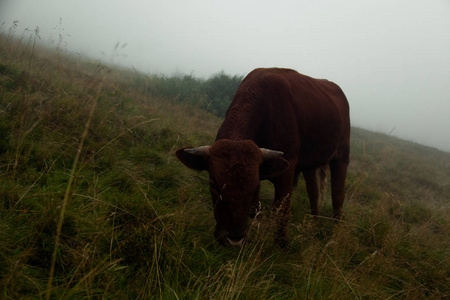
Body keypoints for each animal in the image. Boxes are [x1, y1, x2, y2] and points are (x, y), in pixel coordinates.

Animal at [177, 68, 352, 248]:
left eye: (255, 187)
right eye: (213, 184)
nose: (234, 238)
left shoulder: (287, 170)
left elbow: (282, 211)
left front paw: (282, 245)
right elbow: (255, 211)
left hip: (342, 155)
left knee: (337, 195)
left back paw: (335, 232)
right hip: (310, 164)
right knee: (314, 192)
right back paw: (313, 223)